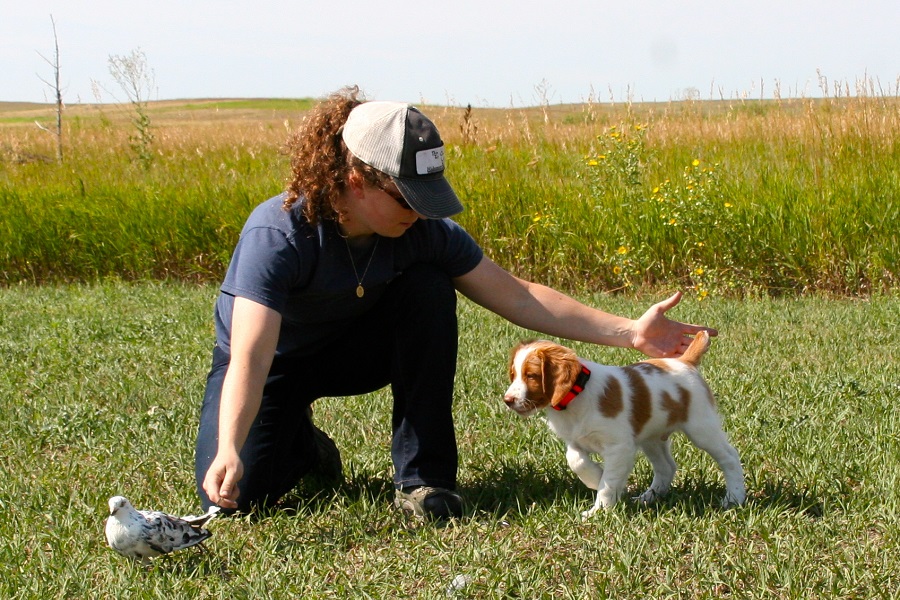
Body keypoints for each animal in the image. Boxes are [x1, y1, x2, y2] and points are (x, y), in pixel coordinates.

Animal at [506, 330, 744, 516]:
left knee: (730, 457)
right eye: (513, 374)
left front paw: (599, 510)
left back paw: (734, 498)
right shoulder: (576, 440)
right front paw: (595, 479)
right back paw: (648, 498)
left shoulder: (619, 446)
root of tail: (684, 361)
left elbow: (609, 481)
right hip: (652, 438)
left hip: (701, 427)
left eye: (531, 375)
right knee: (666, 467)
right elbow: (576, 460)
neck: (576, 396)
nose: (507, 400)